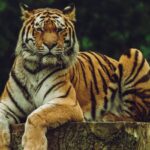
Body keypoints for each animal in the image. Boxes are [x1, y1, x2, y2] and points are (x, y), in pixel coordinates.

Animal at [0, 3, 149, 150]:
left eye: (59, 30)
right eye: (40, 29)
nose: (50, 45)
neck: (35, 69)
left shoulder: (67, 102)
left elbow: (36, 115)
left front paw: (34, 145)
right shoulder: (5, 105)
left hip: (133, 53)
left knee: (136, 115)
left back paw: (107, 117)